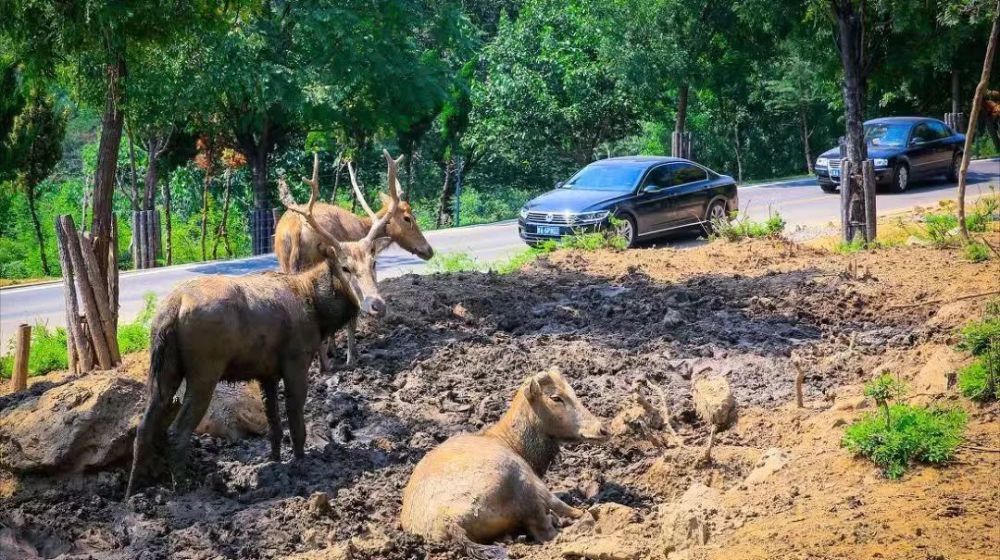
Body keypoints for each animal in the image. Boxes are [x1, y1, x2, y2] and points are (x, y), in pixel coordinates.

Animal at [127, 151, 404, 496]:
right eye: (345, 267)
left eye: (374, 263)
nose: (376, 304)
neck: (317, 311)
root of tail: (172, 309)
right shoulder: (295, 358)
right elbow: (296, 421)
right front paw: (300, 464)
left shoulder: (265, 371)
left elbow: (273, 424)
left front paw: (274, 462)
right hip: (205, 366)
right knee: (177, 431)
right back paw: (187, 488)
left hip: (163, 365)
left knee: (144, 425)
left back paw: (133, 492)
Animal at [274, 153, 434, 372]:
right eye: (408, 217)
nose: (429, 250)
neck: (363, 226)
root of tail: (295, 230)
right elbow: (351, 317)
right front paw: (351, 357)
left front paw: (333, 349)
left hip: (286, 264)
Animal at [400, 368, 608, 552]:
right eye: (556, 397)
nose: (603, 430)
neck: (508, 441)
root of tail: (450, 522)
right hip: (523, 486)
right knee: (545, 531)